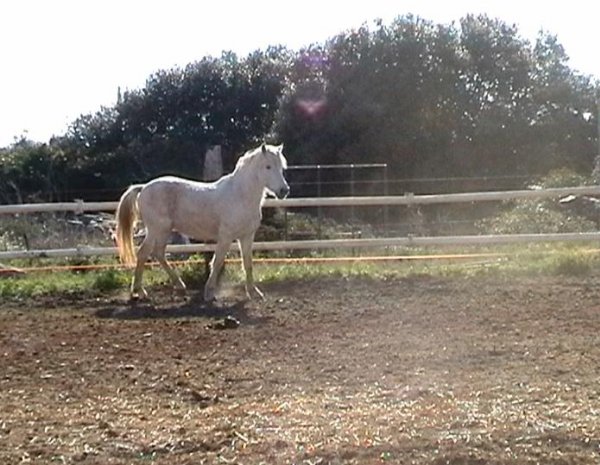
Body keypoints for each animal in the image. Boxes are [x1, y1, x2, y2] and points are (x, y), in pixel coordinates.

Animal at [115, 142, 290, 300]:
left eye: (281, 167)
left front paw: (254, 292)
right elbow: (217, 261)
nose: (284, 191)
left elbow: (248, 263)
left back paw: (179, 285)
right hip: (156, 229)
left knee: (159, 254)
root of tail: (143, 187)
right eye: (268, 166)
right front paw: (209, 292)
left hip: (164, 231)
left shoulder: (246, 236)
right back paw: (140, 291)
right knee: (143, 253)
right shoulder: (226, 236)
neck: (240, 195)